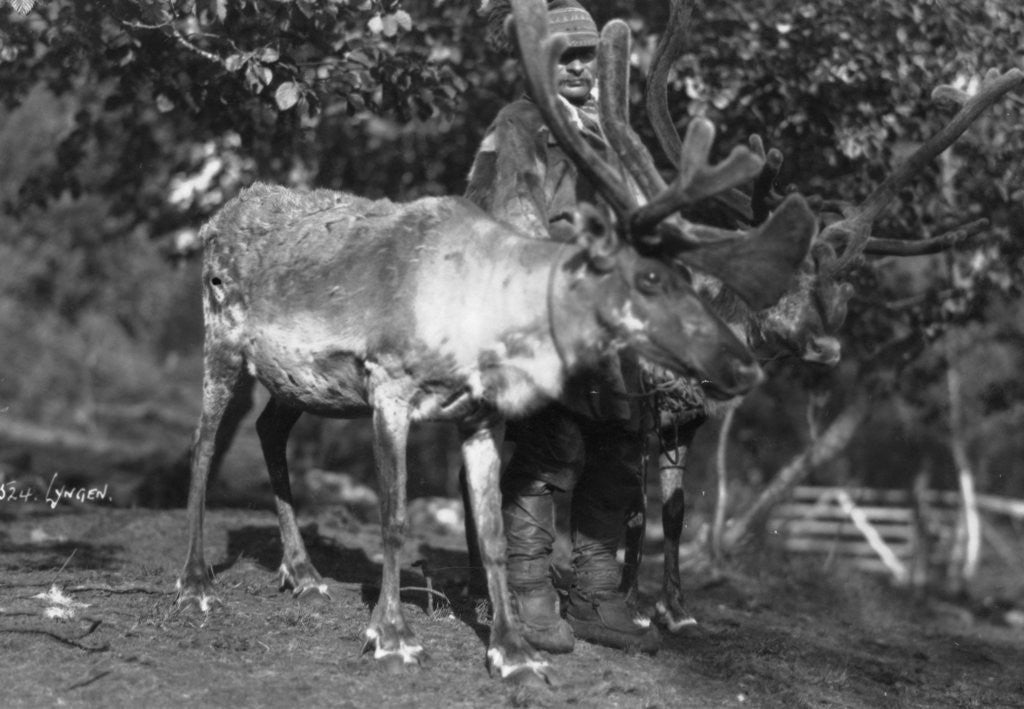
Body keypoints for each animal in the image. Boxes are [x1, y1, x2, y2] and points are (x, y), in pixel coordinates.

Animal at [174, 0, 818, 683]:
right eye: (647, 278)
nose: (740, 364)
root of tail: (217, 216)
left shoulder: (481, 414)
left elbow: (493, 531)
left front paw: (514, 651)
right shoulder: (388, 384)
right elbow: (395, 518)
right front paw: (391, 635)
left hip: (296, 381)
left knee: (269, 429)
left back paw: (304, 574)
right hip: (222, 340)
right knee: (204, 442)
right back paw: (196, 584)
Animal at [613, 0, 1024, 634]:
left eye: (838, 290)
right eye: (770, 277)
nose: (828, 348)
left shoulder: (689, 418)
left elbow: (676, 510)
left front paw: (676, 608)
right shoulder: (640, 399)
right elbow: (633, 501)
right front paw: (631, 603)